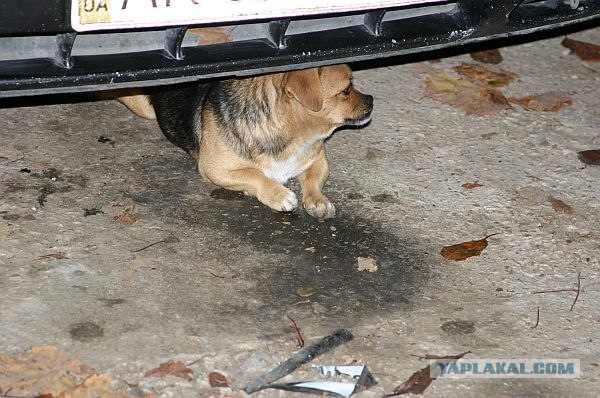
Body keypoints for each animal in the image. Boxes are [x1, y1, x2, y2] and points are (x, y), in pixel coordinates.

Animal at [118, 66, 370, 221]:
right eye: (346, 90)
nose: (371, 100)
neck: (291, 131)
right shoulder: (214, 168)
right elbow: (255, 175)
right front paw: (278, 194)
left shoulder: (317, 160)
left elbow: (313, 182)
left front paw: (318, 201)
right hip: (141, 106)